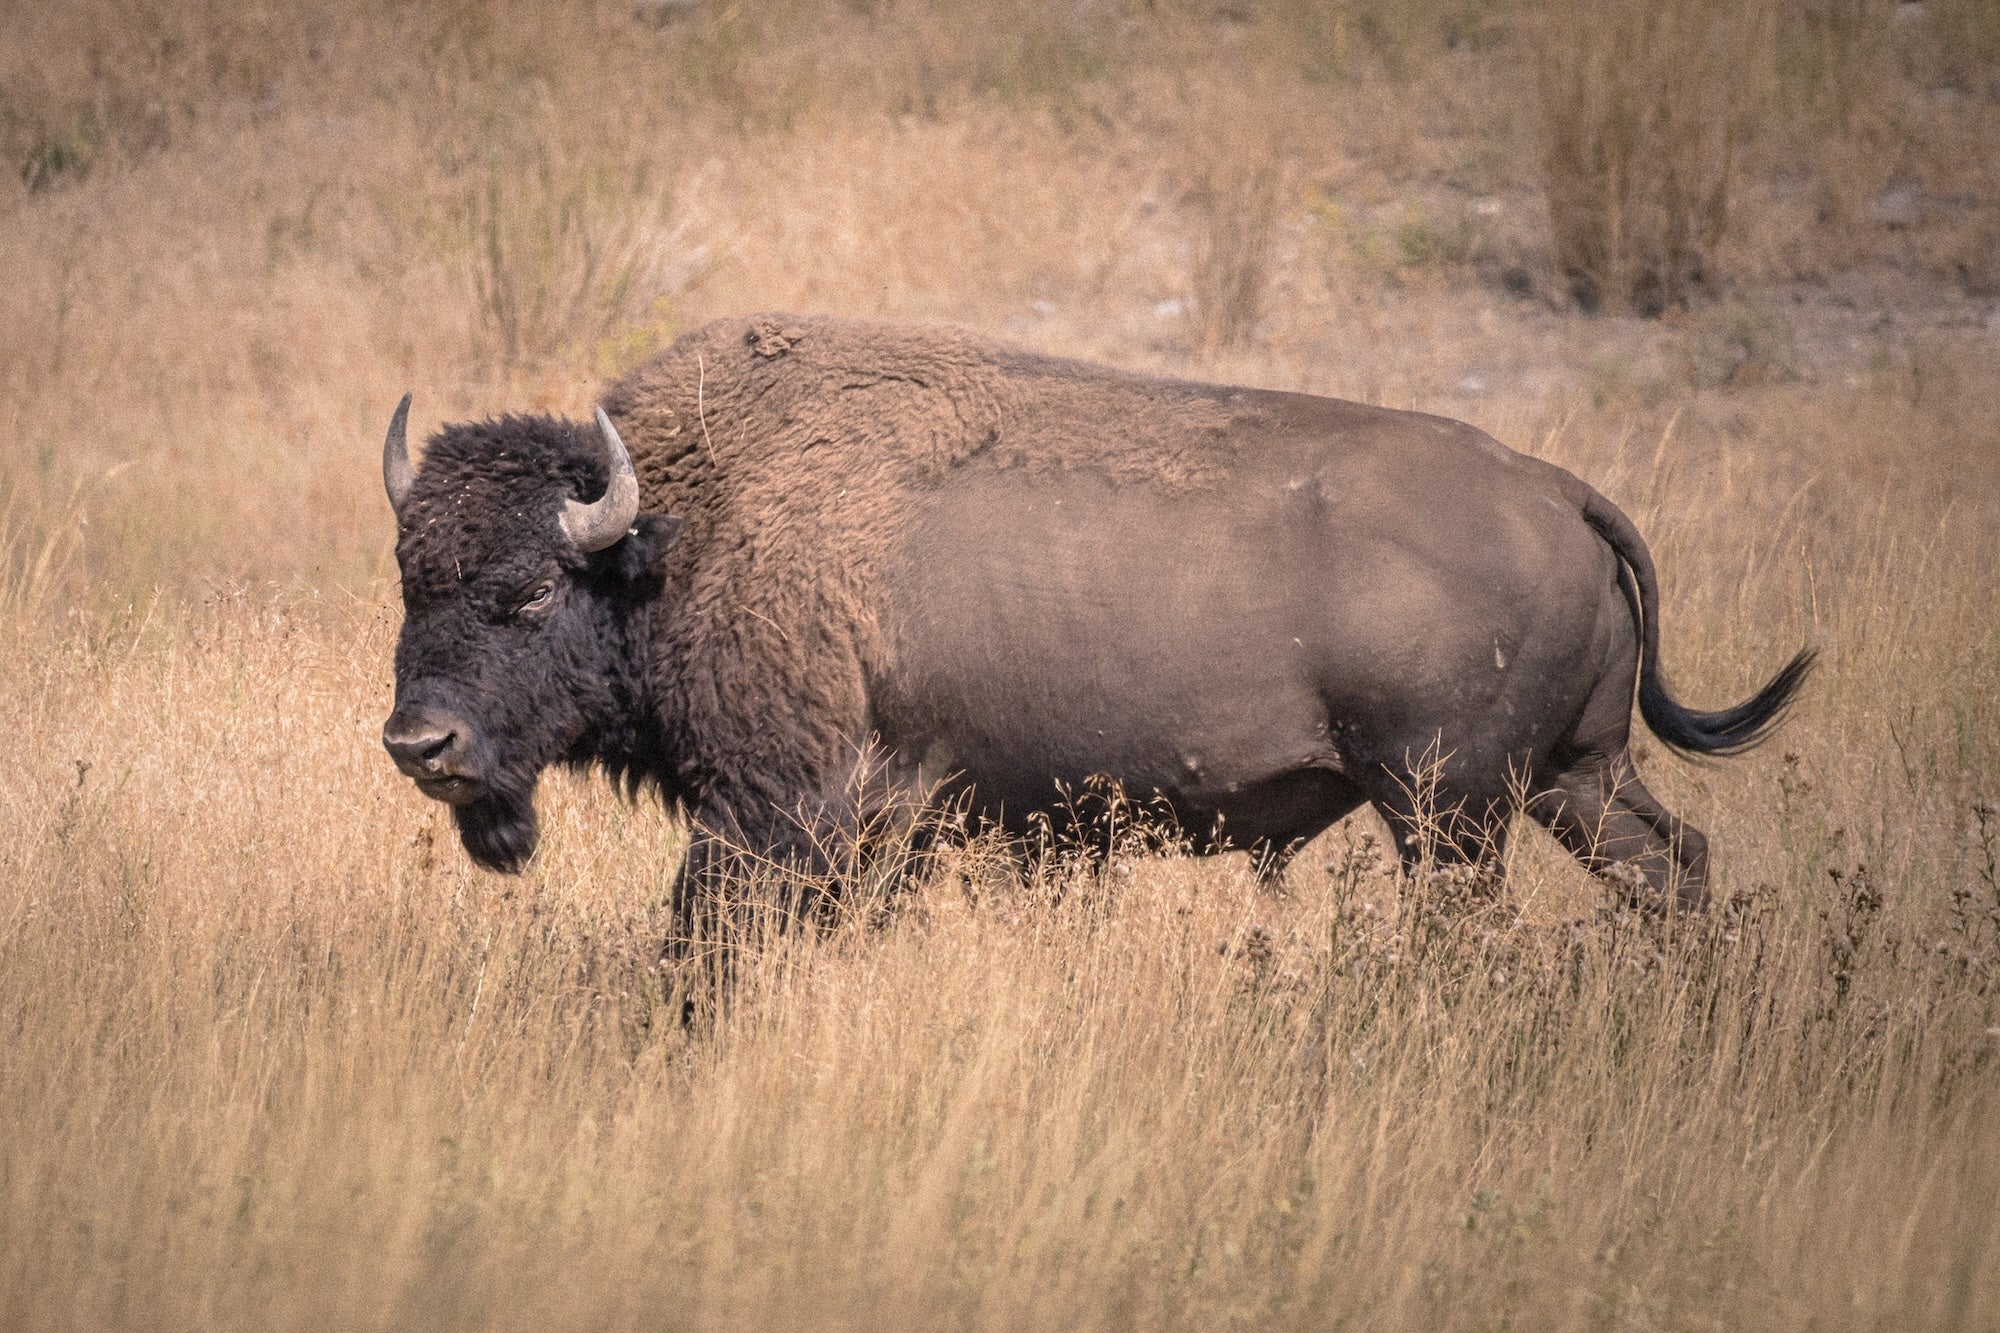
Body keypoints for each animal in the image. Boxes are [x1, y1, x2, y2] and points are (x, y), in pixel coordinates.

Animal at [381, 315, 1812, 922]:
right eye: (408, 579)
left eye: (523, 590)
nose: (418, 745)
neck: (681, 533)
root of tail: (1558, 489)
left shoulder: (778, 816)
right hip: (1572, 776)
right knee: (1674, 866)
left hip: (1446, 806)